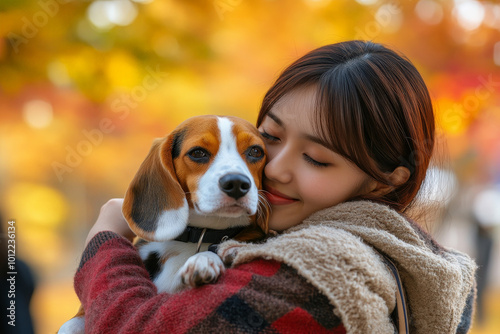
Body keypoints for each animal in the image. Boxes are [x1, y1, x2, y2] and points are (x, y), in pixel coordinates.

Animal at [59, 115, 270, 334]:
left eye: (256, 151)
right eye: (198, 153)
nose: (237, 184)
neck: (200, 234)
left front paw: (204, 260)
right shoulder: (82, 312)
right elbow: (71, 324)